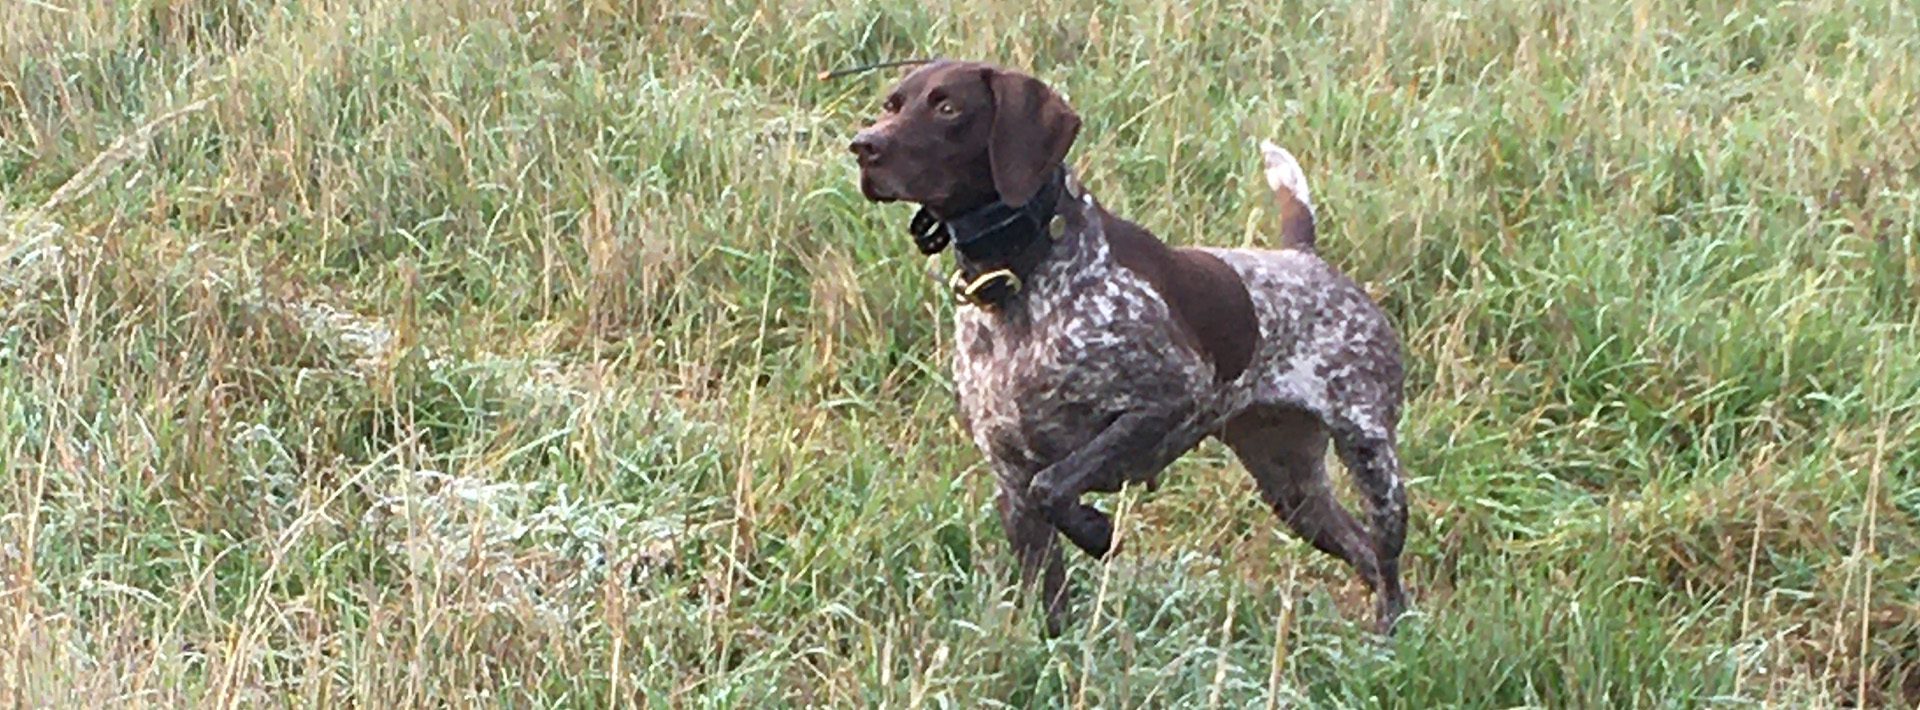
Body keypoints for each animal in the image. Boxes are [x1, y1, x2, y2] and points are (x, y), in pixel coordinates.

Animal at [852, 60, 1413, 633]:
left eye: (948, 107)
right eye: (891, 105)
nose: (863, 146)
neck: (1018, 282)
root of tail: (1303, 256)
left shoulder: (1172, 400)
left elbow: (1054, 483)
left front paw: (1095, 530)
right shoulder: (1009, 478)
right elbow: (1048, 594)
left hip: (1372, 460)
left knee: (1387, 561)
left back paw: (1392, 636)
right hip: (1292, 487)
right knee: (1363, 552)